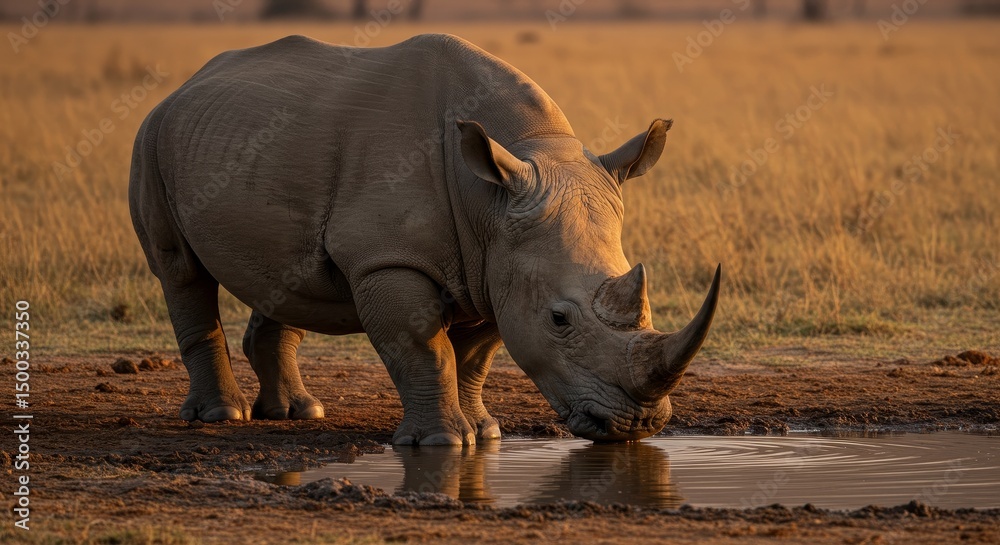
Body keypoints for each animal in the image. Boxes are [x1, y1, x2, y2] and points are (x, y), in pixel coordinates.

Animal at [129, 33, 720, 445]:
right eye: (559, 320)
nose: (636, 425)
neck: (491, 196)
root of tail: (183, 87)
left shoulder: (495, 264)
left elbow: (475, 357)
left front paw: (485, 433)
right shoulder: (389, 258)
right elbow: (423, 347)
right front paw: (442, 443)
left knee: (285, 274)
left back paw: (297, 413)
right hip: (151, 137)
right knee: (179, 270)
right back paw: (220, 415)